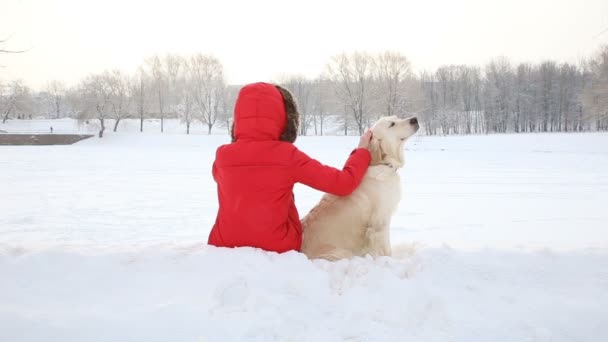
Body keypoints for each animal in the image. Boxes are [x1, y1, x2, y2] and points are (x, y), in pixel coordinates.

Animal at [300, 116, 418, 260]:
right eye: (392, 124)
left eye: (397, 117)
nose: (414, 119)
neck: (383, 164)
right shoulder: (379, 223)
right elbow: (385, 251)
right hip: (341, 253)